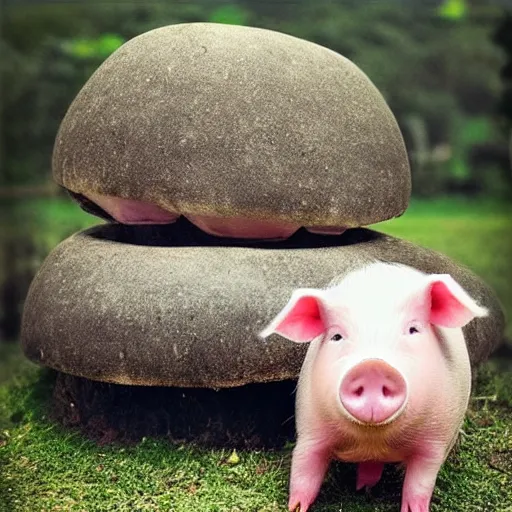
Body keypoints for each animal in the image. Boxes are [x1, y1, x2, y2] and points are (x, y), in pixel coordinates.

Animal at [260, 264, 488, 512]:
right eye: (336, 336)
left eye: (413, 330)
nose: (372, 367)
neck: (373, 437)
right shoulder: (309, 425)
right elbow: (304, 468)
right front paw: (295, 507)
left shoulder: (436, 440)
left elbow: (420, 483)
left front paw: (415, 509)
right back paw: (364, 488)